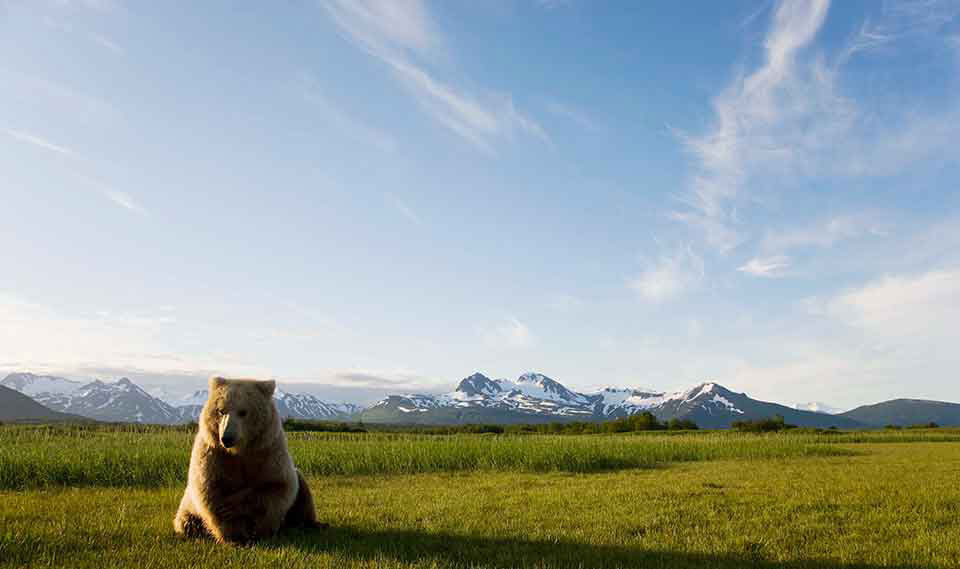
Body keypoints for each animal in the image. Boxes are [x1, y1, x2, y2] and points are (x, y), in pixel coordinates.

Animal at [172, 378, 322, 540]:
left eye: (243, 412)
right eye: (221, 410)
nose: (227, 438)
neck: (240, 450)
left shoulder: (268, 451)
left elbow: (276, 486)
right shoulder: (214, 454)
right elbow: (211, 489)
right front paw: (234, 533)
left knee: (303, 493)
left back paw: (308, 524)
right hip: (186, 509)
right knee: (187, 523)